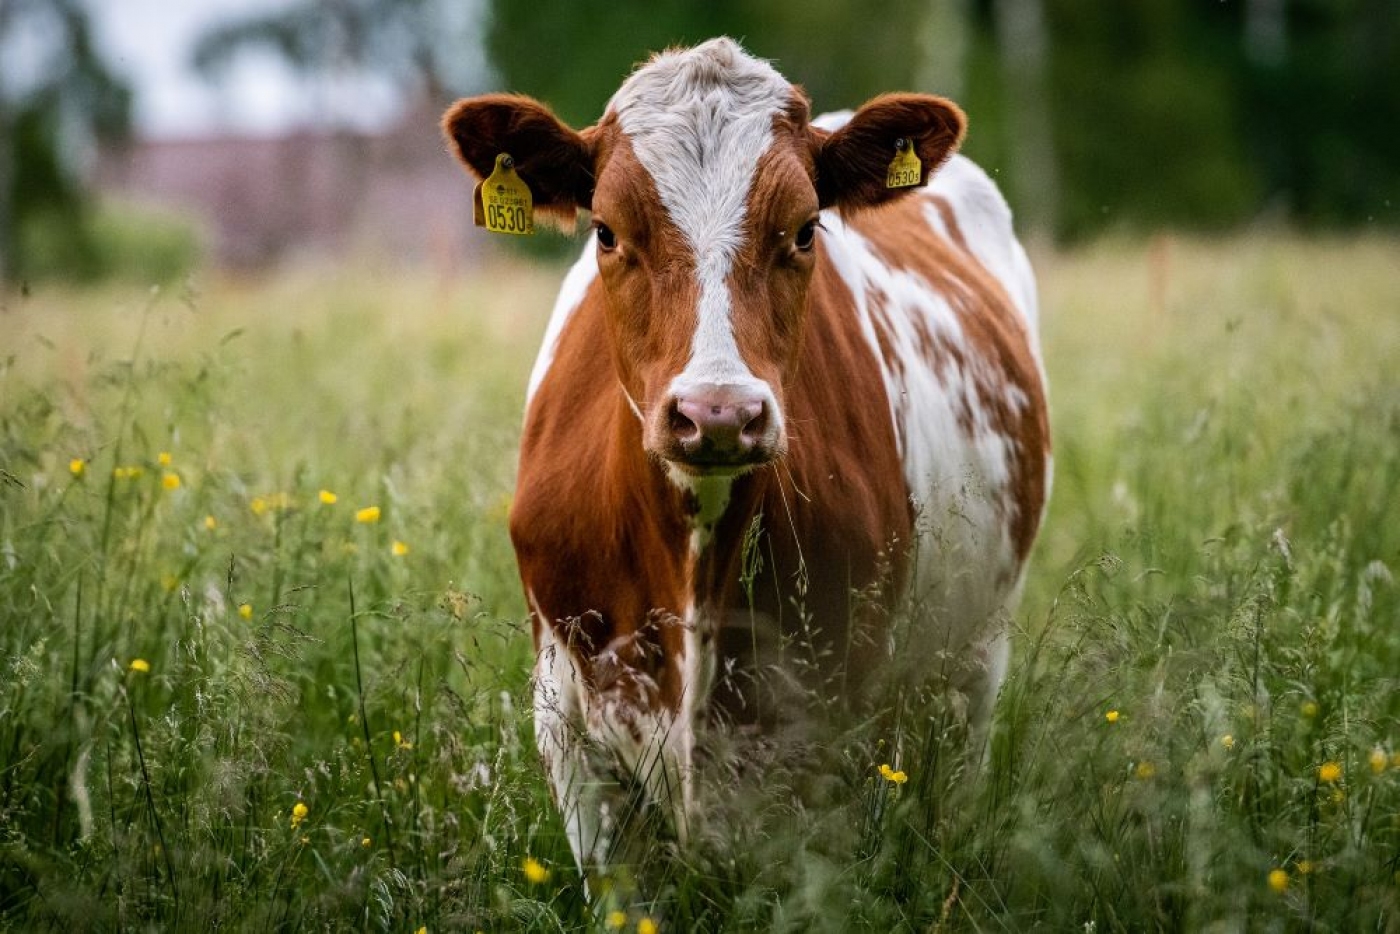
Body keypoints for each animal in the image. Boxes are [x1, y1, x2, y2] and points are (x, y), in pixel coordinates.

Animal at [442, 38, 1047, 884]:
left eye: (804, 230)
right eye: (606, 232)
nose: (718, 412)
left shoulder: (832, 734)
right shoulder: (571, 734)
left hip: (973, 663)